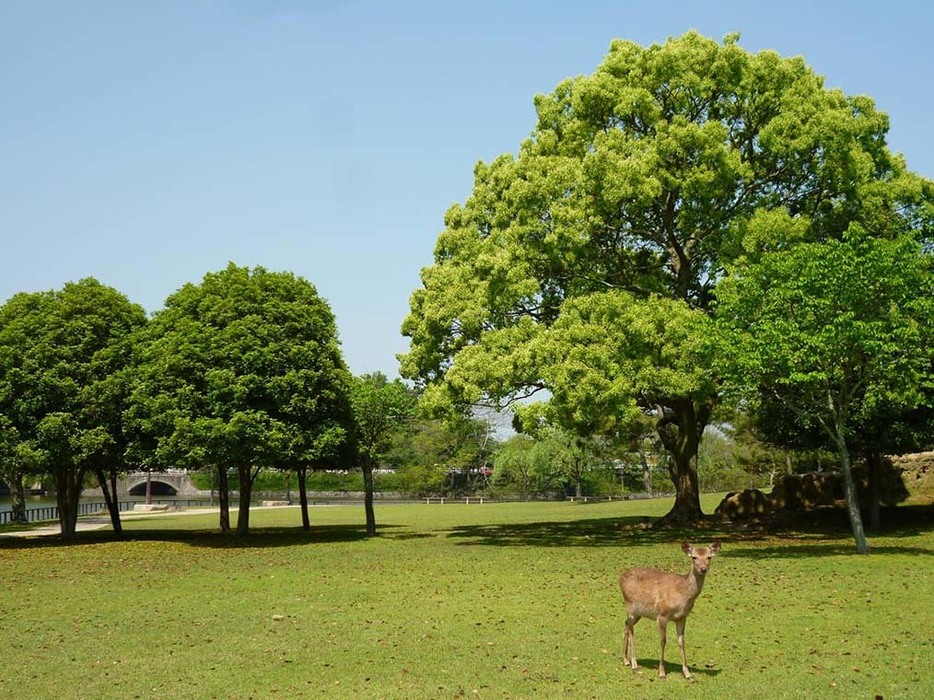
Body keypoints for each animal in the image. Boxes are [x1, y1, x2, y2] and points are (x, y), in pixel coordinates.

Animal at [620, 540, 724, 680]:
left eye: (709, 557)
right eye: (694, 557)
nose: (703, 569)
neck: (682, 596)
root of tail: (621, 577)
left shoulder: (682, 617)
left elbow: (681, 641)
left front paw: (687, 673)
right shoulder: (662, 615)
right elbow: (663, 641)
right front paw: (661, 672)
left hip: (638, 613)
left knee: (626, 624)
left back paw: (625, 660)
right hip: (630, 606)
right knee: (630, 628)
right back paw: (634, 663)